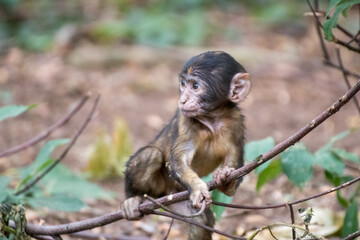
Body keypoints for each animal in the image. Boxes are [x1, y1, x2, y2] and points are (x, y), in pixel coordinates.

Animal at [121, 49, 250, 239]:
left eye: (195, 86)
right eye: (183, 84)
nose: (182, 100)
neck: (212, 119)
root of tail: (165, 195)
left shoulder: (236, 121)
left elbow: (235, 157)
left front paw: (225, 179)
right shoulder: (185, 120)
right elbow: (178, 160)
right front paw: (198, 188)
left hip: (175, 197)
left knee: (200, 220)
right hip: (159, 190)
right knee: (151, 154)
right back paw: (133, 199)